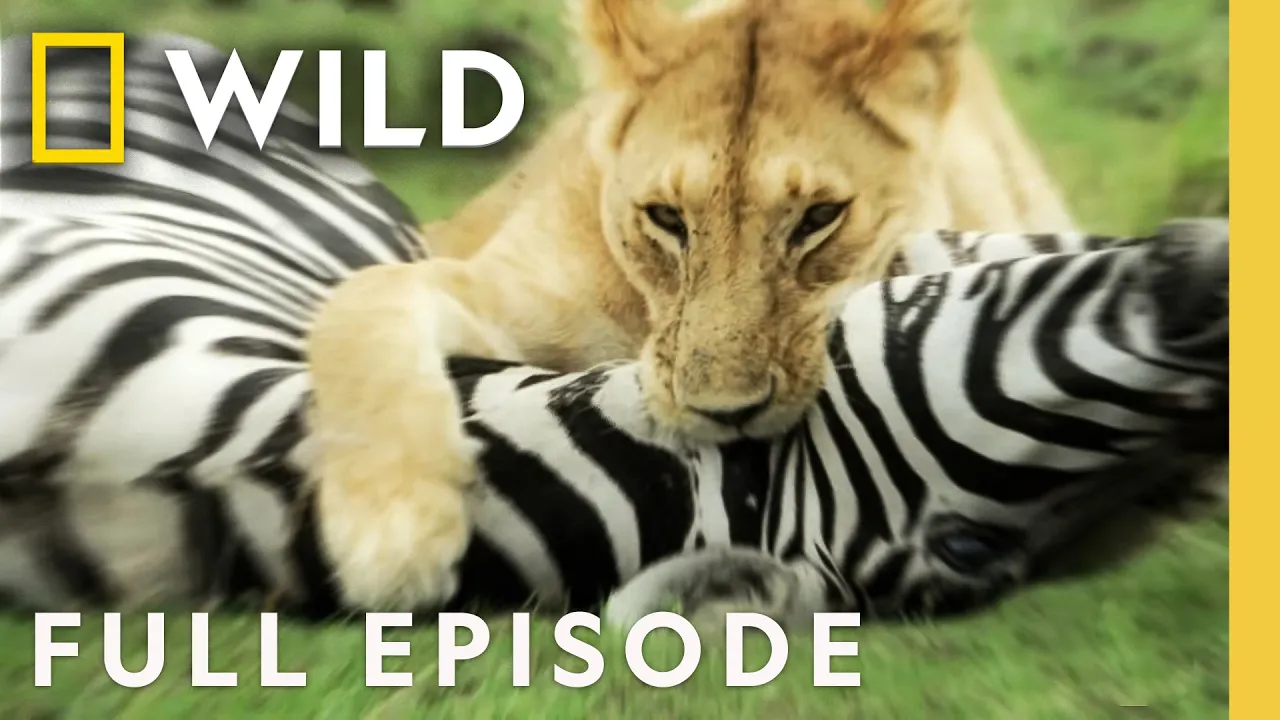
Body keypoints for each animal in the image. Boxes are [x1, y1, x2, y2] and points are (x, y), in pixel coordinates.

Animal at [304, 0, 1078, 611]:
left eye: (819, 217)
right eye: (665, 217)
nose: (726, 414)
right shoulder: (511, 285)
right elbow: (363, 294)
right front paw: (391, 537)